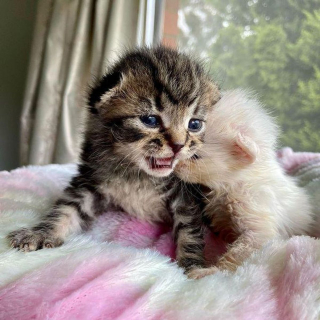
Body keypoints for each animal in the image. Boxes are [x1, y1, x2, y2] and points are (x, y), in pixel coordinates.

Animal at [8, 46, 221, 274]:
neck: (137, 173)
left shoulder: (186, 194)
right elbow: (66, 209)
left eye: (194, 124)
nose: (179, 145)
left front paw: (194, 266)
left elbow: (189, 230)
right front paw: (40, 233)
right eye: (150, 120)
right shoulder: (90, 181)